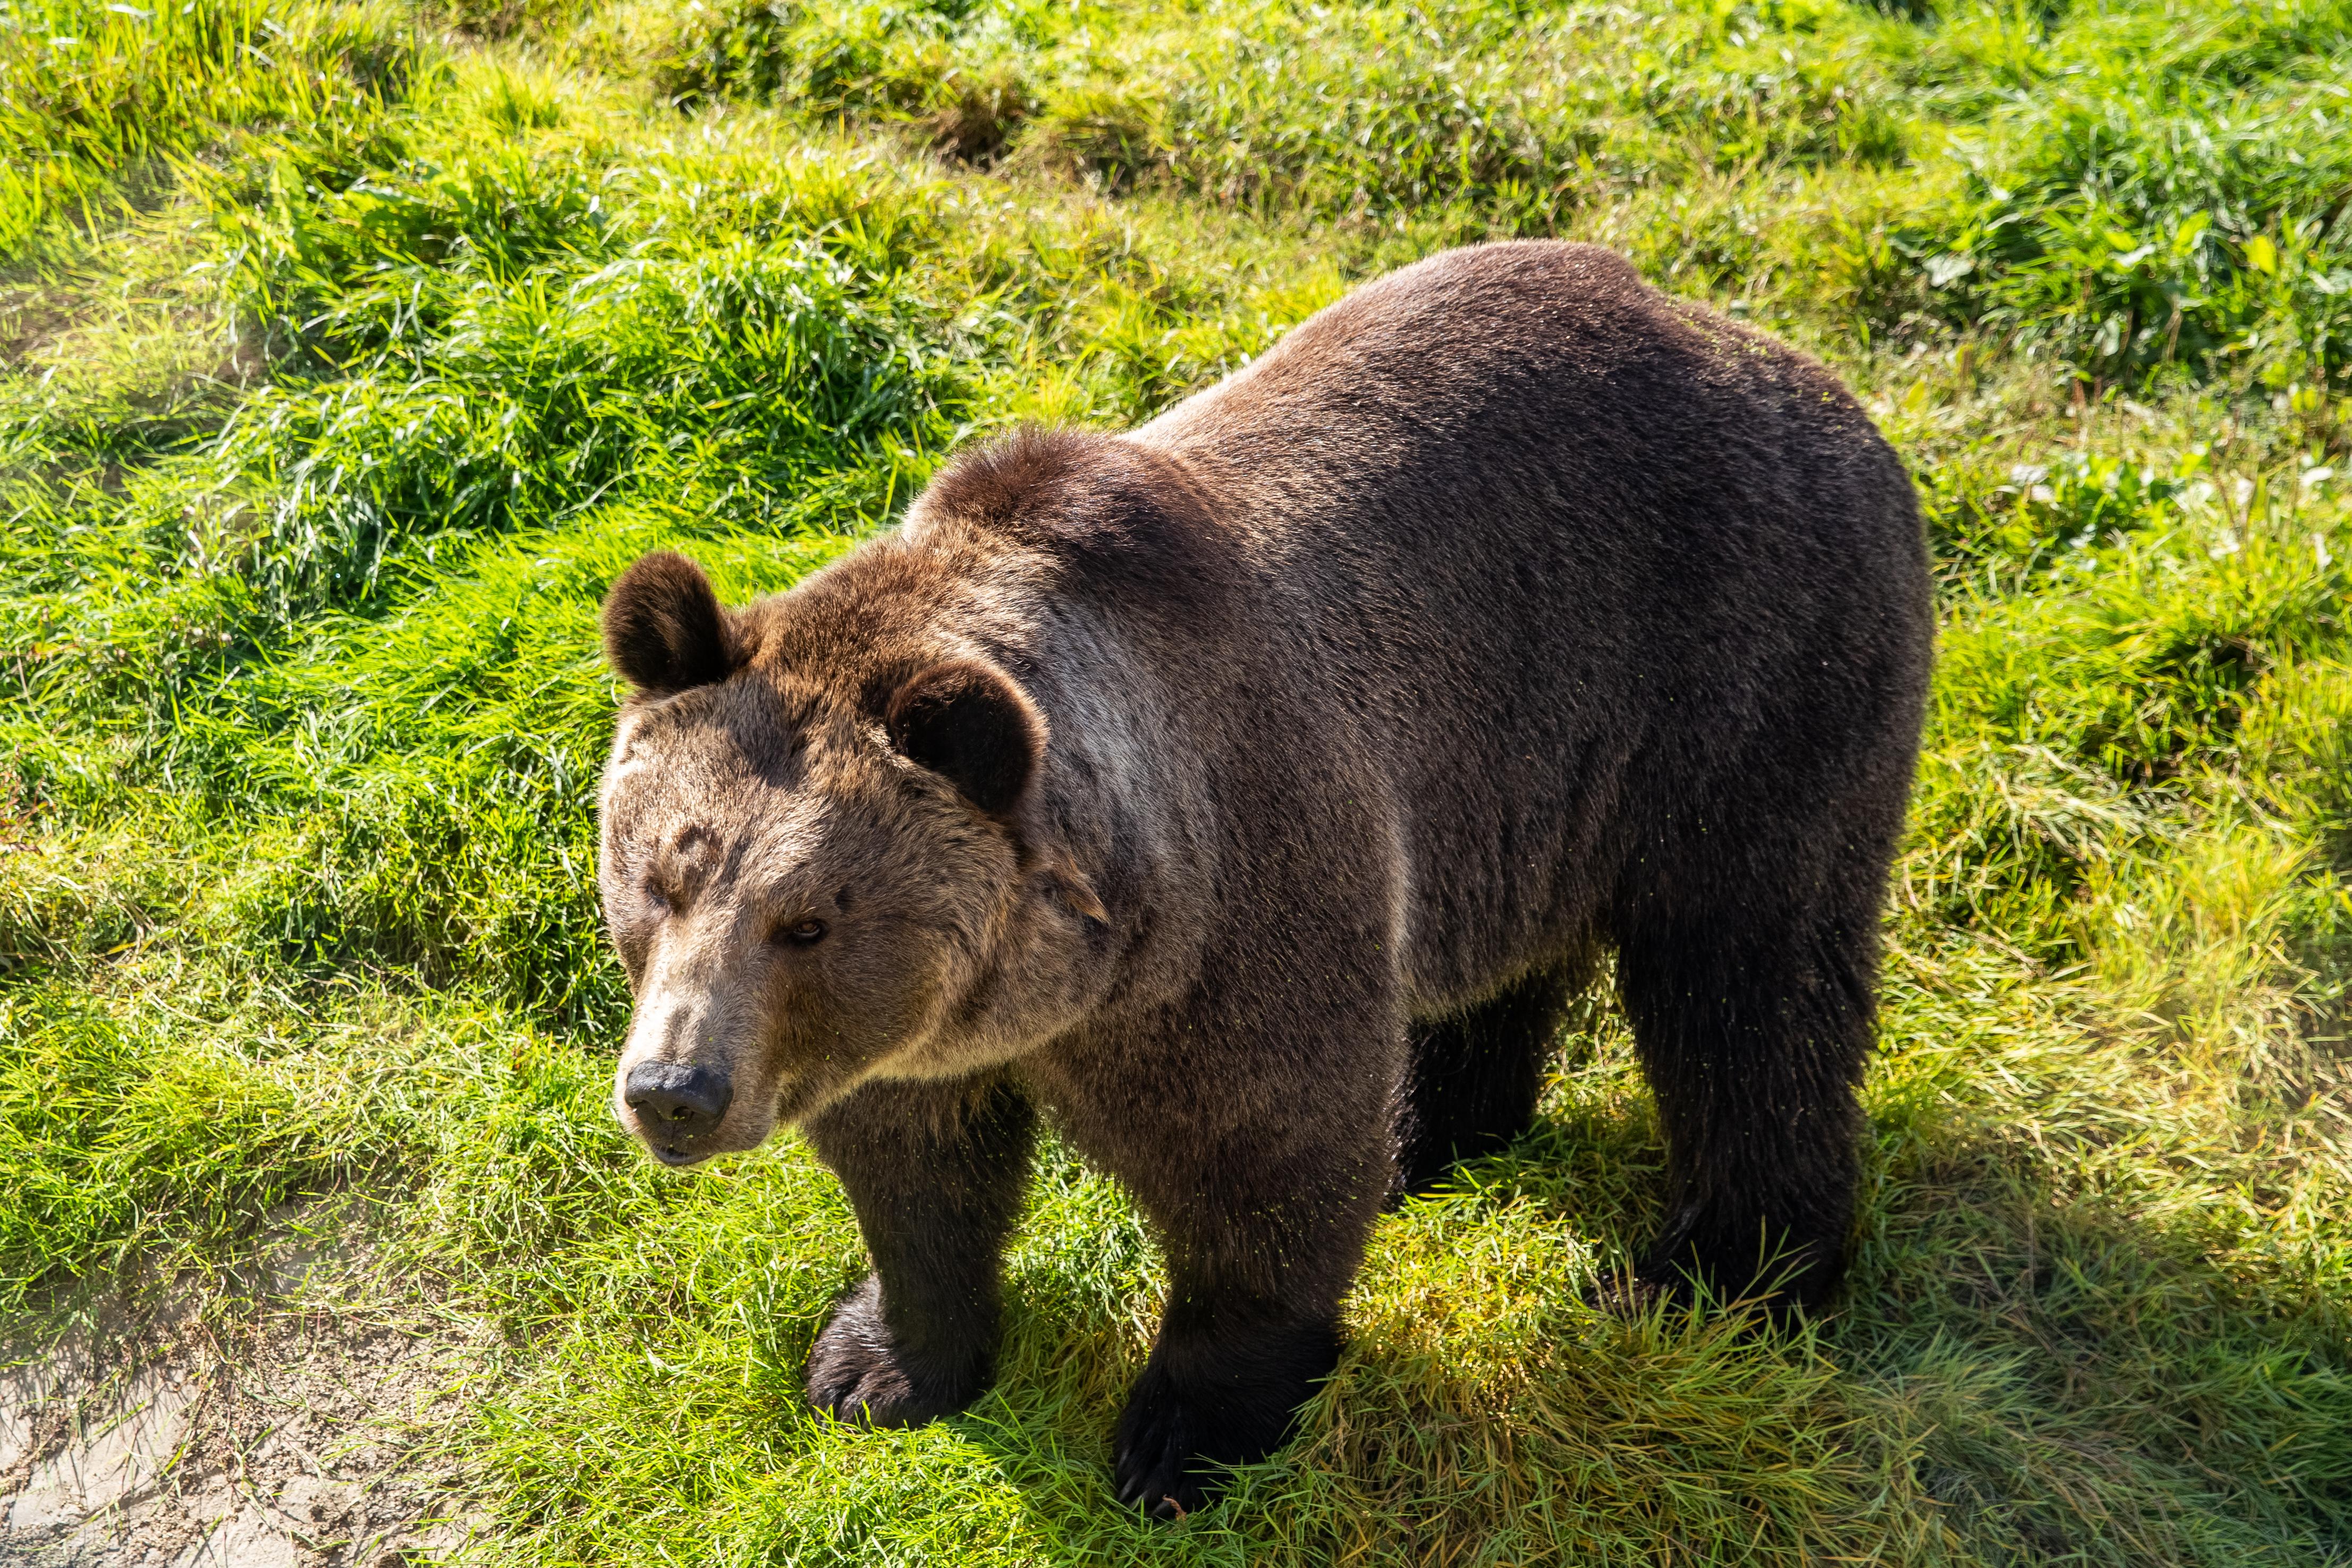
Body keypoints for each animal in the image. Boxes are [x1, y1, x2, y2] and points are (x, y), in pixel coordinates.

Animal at [595, 240, 1933, 1518]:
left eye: (807, 919)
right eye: (662, 877)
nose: (674, 1091)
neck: (1071, 978)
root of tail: (1784, 357)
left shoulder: (1236, 906)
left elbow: (1262, 1160)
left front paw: (1184, 1436)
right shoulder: (917, 1035)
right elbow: (913, 1173)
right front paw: (876, 1363)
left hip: (1744, 668)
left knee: (1748, 978)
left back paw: (1719, 1269)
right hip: (1522, 777)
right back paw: (1432, 1130)